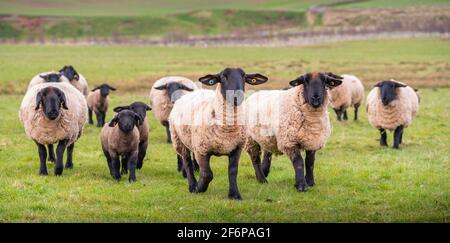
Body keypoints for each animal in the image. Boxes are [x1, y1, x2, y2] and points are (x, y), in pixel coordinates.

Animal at [168, 67, 268, 199]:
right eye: (223, 77)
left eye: (244, 76)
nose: (237, 96)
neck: (227, 129)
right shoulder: (201, 150)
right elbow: (207, 174)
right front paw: (198, 188)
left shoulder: (236, 148)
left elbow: (233, 171)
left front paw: (234, 195)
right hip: (178, 139)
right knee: (187, 162)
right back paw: (192, 185)